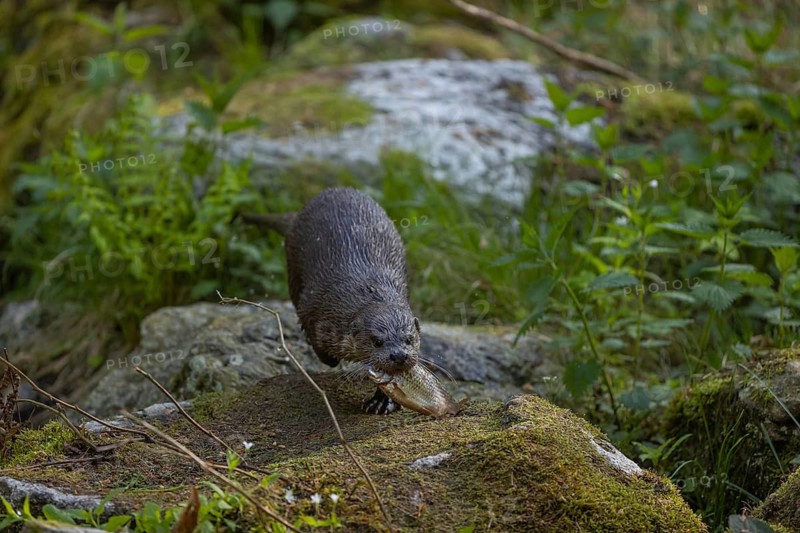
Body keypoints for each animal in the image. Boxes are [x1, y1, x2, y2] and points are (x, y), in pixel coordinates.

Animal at [242, 188, 421, 414]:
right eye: (377, 341)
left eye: (409, 339)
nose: (399, 355)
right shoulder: (311, 304)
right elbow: (313, 334)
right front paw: (330, 359)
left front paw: (382, 401)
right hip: (292, 263)